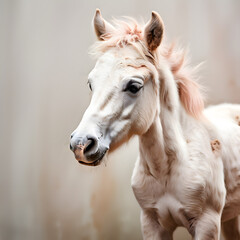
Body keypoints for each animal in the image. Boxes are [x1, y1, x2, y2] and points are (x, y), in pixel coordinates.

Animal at [70, 8, 240, 238]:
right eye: (91, 83)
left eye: (134, 86)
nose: (80, 144)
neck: (166, 170)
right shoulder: (151, 223)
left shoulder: (207, 224)